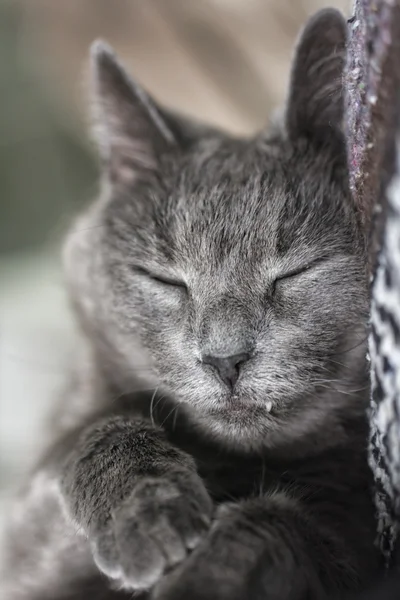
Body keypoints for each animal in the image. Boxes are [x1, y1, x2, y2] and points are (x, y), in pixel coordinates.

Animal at [0, 8, 382, 600]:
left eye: (296, 271)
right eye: (166, 281)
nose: (226, 359)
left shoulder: (361, 539)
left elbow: (277, 526)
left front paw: (203, 574)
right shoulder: (21, 546)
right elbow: (90, 432)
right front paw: (149, 518)